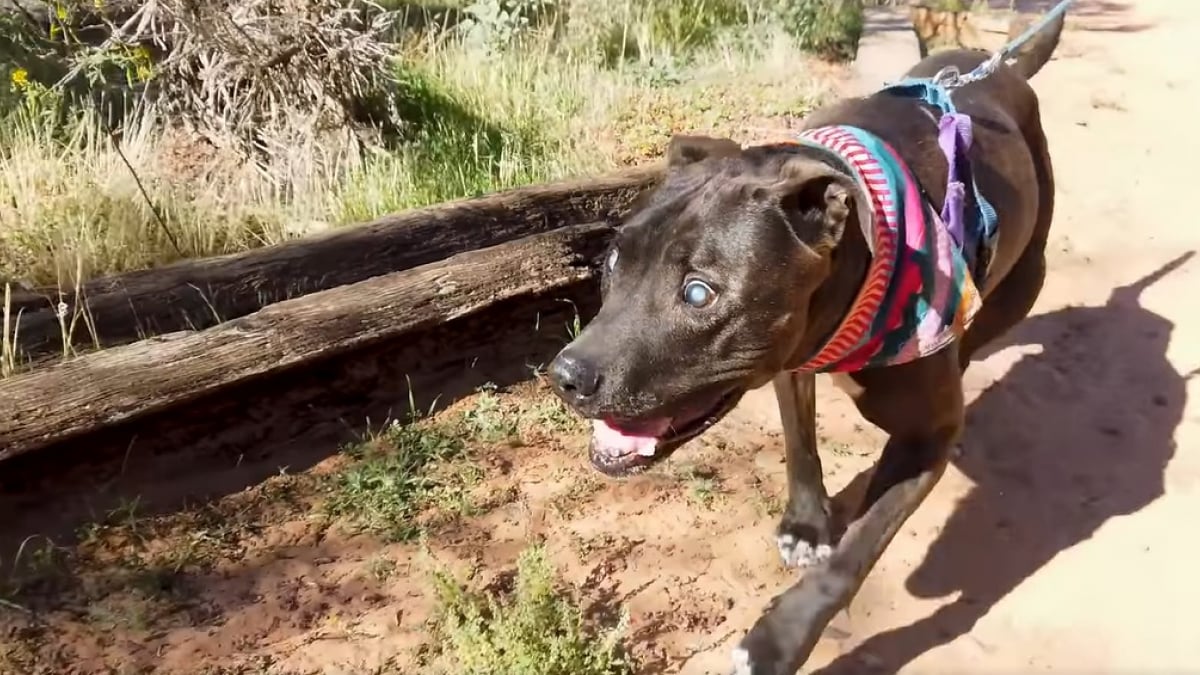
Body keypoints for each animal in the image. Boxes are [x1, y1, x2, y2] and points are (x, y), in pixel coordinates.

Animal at [549, 6, 1065, 672]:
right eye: (613, 262)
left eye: (699, 293)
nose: (566, 376)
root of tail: (994, 63)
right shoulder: (791, 364)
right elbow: (799, 446)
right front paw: (805, 526)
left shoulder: (929, 435)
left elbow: (852, 557)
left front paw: (777, 642)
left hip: (1027, 275)